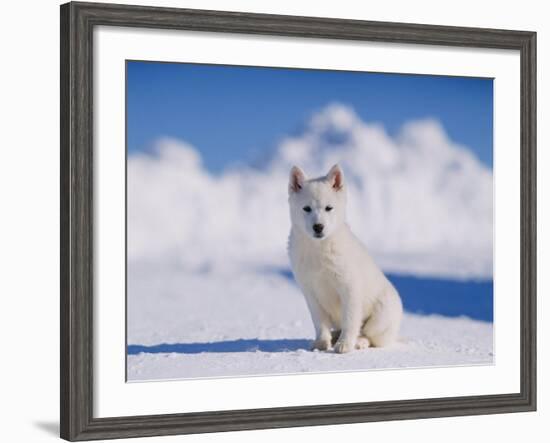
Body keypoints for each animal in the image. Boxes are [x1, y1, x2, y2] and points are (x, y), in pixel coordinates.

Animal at [288, 165, 402, 356]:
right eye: (306, 208)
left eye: (329, 208)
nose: (318, 227)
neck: (319, 248)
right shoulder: (310, 292)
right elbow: (319, 322)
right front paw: (321, 342)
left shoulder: (349, 288)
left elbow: (350, 319)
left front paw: (345, 345)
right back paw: (335, 336)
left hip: (380, 316)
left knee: (370, 335)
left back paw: (359, 342)